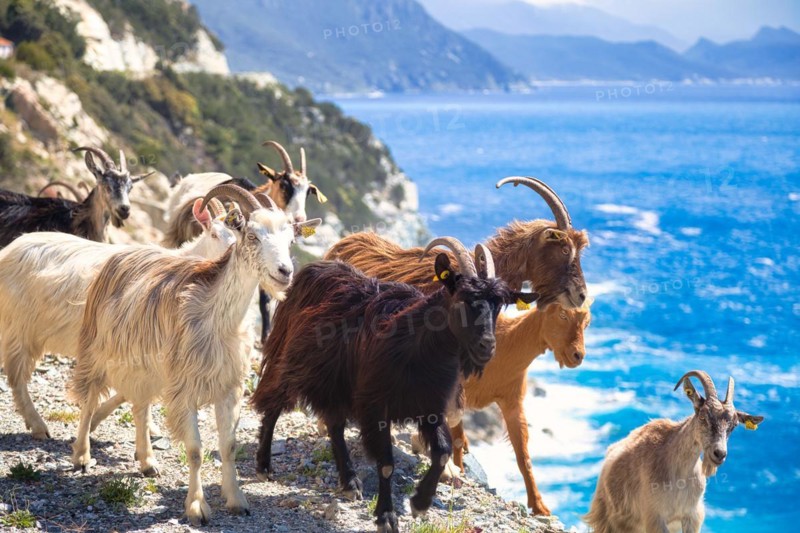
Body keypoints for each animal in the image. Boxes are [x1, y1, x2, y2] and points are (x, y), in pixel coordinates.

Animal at [0, 198, 236, 440]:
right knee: (16, 377)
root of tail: (6, 252)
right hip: (18, 327)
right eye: (214, 234)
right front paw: (97, 421)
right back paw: (38, 425)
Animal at [70, 185, 320, 526]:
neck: (216, 319)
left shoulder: (229, 388)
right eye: (252, 235)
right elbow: (195, 450)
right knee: (89, 398)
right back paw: (82, 456)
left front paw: (237, 500)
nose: (285, 272)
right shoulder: (184, 387)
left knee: (140, 406)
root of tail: (122, 254)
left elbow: (228, 446)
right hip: (97, 348)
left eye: (290, 240)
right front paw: (197, 508)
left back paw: (147, 462)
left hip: (147, 367)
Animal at [252, 238, 535, 533]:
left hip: (336, 384)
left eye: (499, 304)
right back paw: (264, 465)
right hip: (290, 362)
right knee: (273, 405)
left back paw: (350, 482)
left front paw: (420, 502)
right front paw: (386, 516)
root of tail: (313, 268)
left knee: (335, 426)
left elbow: (442, 452)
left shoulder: (430, 407)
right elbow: (387, 463)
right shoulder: (375, 405)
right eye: (462, 298)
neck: (418, 345)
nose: (487, 346)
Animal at [325, 231, 590, 515]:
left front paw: (539, 506)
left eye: (587, 322)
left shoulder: (509, 399)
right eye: (564, 249)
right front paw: (441, 464)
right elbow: (454, 426)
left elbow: (520, 450)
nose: (577, 355)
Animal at [585, 370, 764, 533]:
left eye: (734, 425)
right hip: (607, 519)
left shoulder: (691, 516)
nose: (719, 454)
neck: (679, 475)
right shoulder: (654, 516)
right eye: (703, 417)